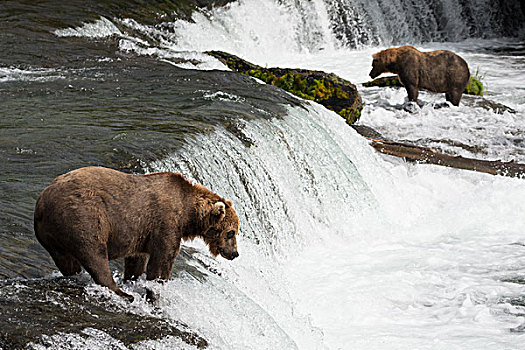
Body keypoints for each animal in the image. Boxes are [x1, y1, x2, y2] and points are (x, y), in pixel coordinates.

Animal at [32, 167, 237, 300]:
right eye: (231, 232)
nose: (234, 253)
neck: (187, 213)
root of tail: (42, 202)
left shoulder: (142, 233)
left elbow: (137, 260)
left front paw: (133, 280)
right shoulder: (166, 224)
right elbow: (162, 260)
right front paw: (155, 290)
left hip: (52, 235)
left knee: (66, 260)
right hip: (84, 217)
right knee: (94, 254)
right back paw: (123, 294)